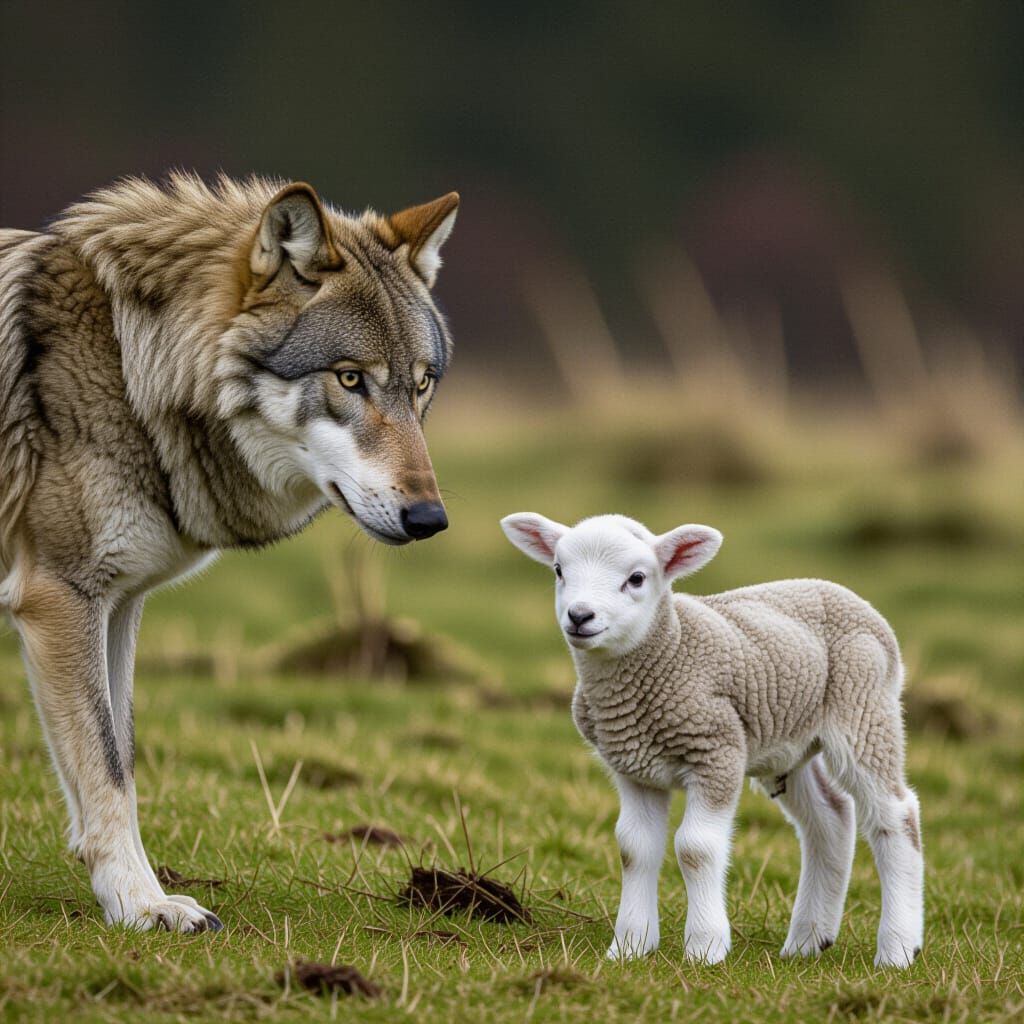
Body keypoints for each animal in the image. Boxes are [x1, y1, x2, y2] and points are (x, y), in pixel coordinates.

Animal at [0, 174, 459, 931]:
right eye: (350, 379)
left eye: (419, 383)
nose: (430, 518)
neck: (129, 368)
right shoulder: (58, 596)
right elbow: (106, 767)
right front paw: (139, 904)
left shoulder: (118, 604)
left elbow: (120, 757)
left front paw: (140, 894)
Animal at [500, 512, 924, 968]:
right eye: (559, 571)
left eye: (636, 578)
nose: (580, 616)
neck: (670, 649)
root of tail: (843, 593)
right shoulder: (633, 767)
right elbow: (634, 848)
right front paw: (630, 946)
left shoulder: (716, 750)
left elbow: (696, 848)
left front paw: (704, 948)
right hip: (789, 742)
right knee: (831, 818)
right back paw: (808, 941)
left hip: (863, 707)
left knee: (895, 813)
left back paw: (898, 948)